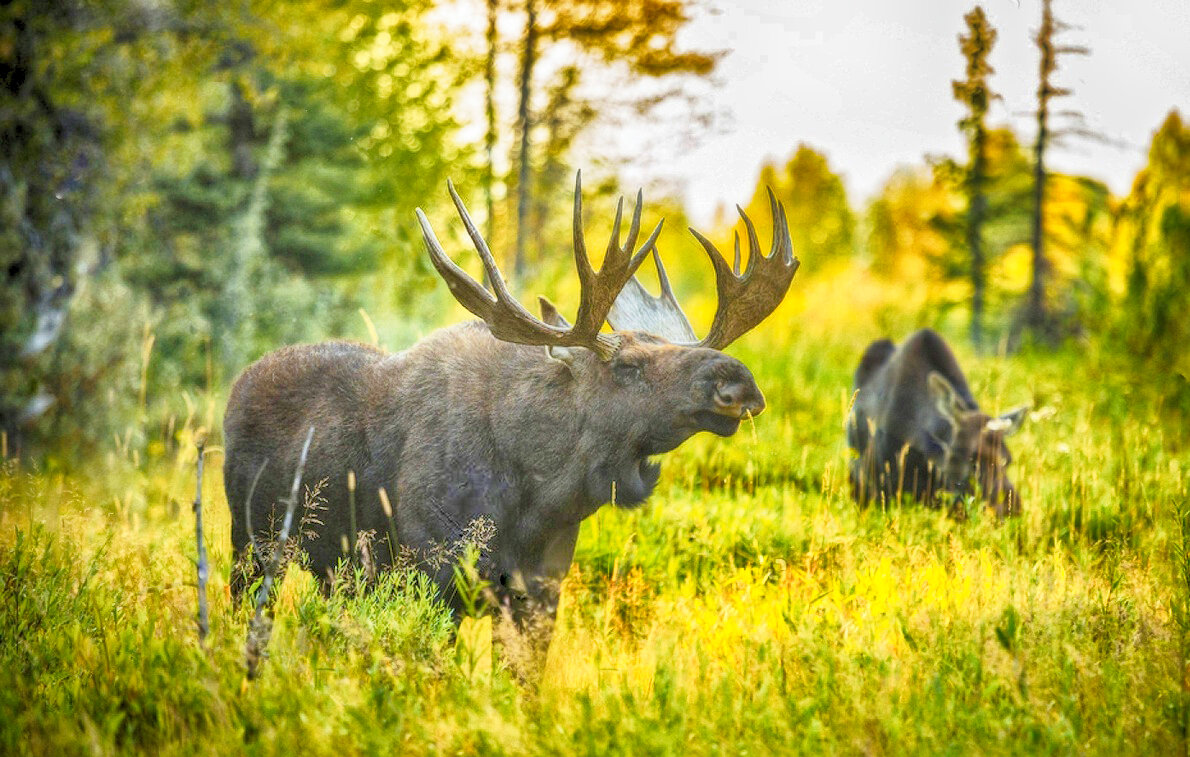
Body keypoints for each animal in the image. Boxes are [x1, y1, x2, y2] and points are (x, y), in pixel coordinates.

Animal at [223, 172, 799, 652]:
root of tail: (236, 386)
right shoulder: (435, 576)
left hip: (333, 570)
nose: (737, 382)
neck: (541, 494)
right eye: (629, 366)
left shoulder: (539, 591)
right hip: (252, 543)